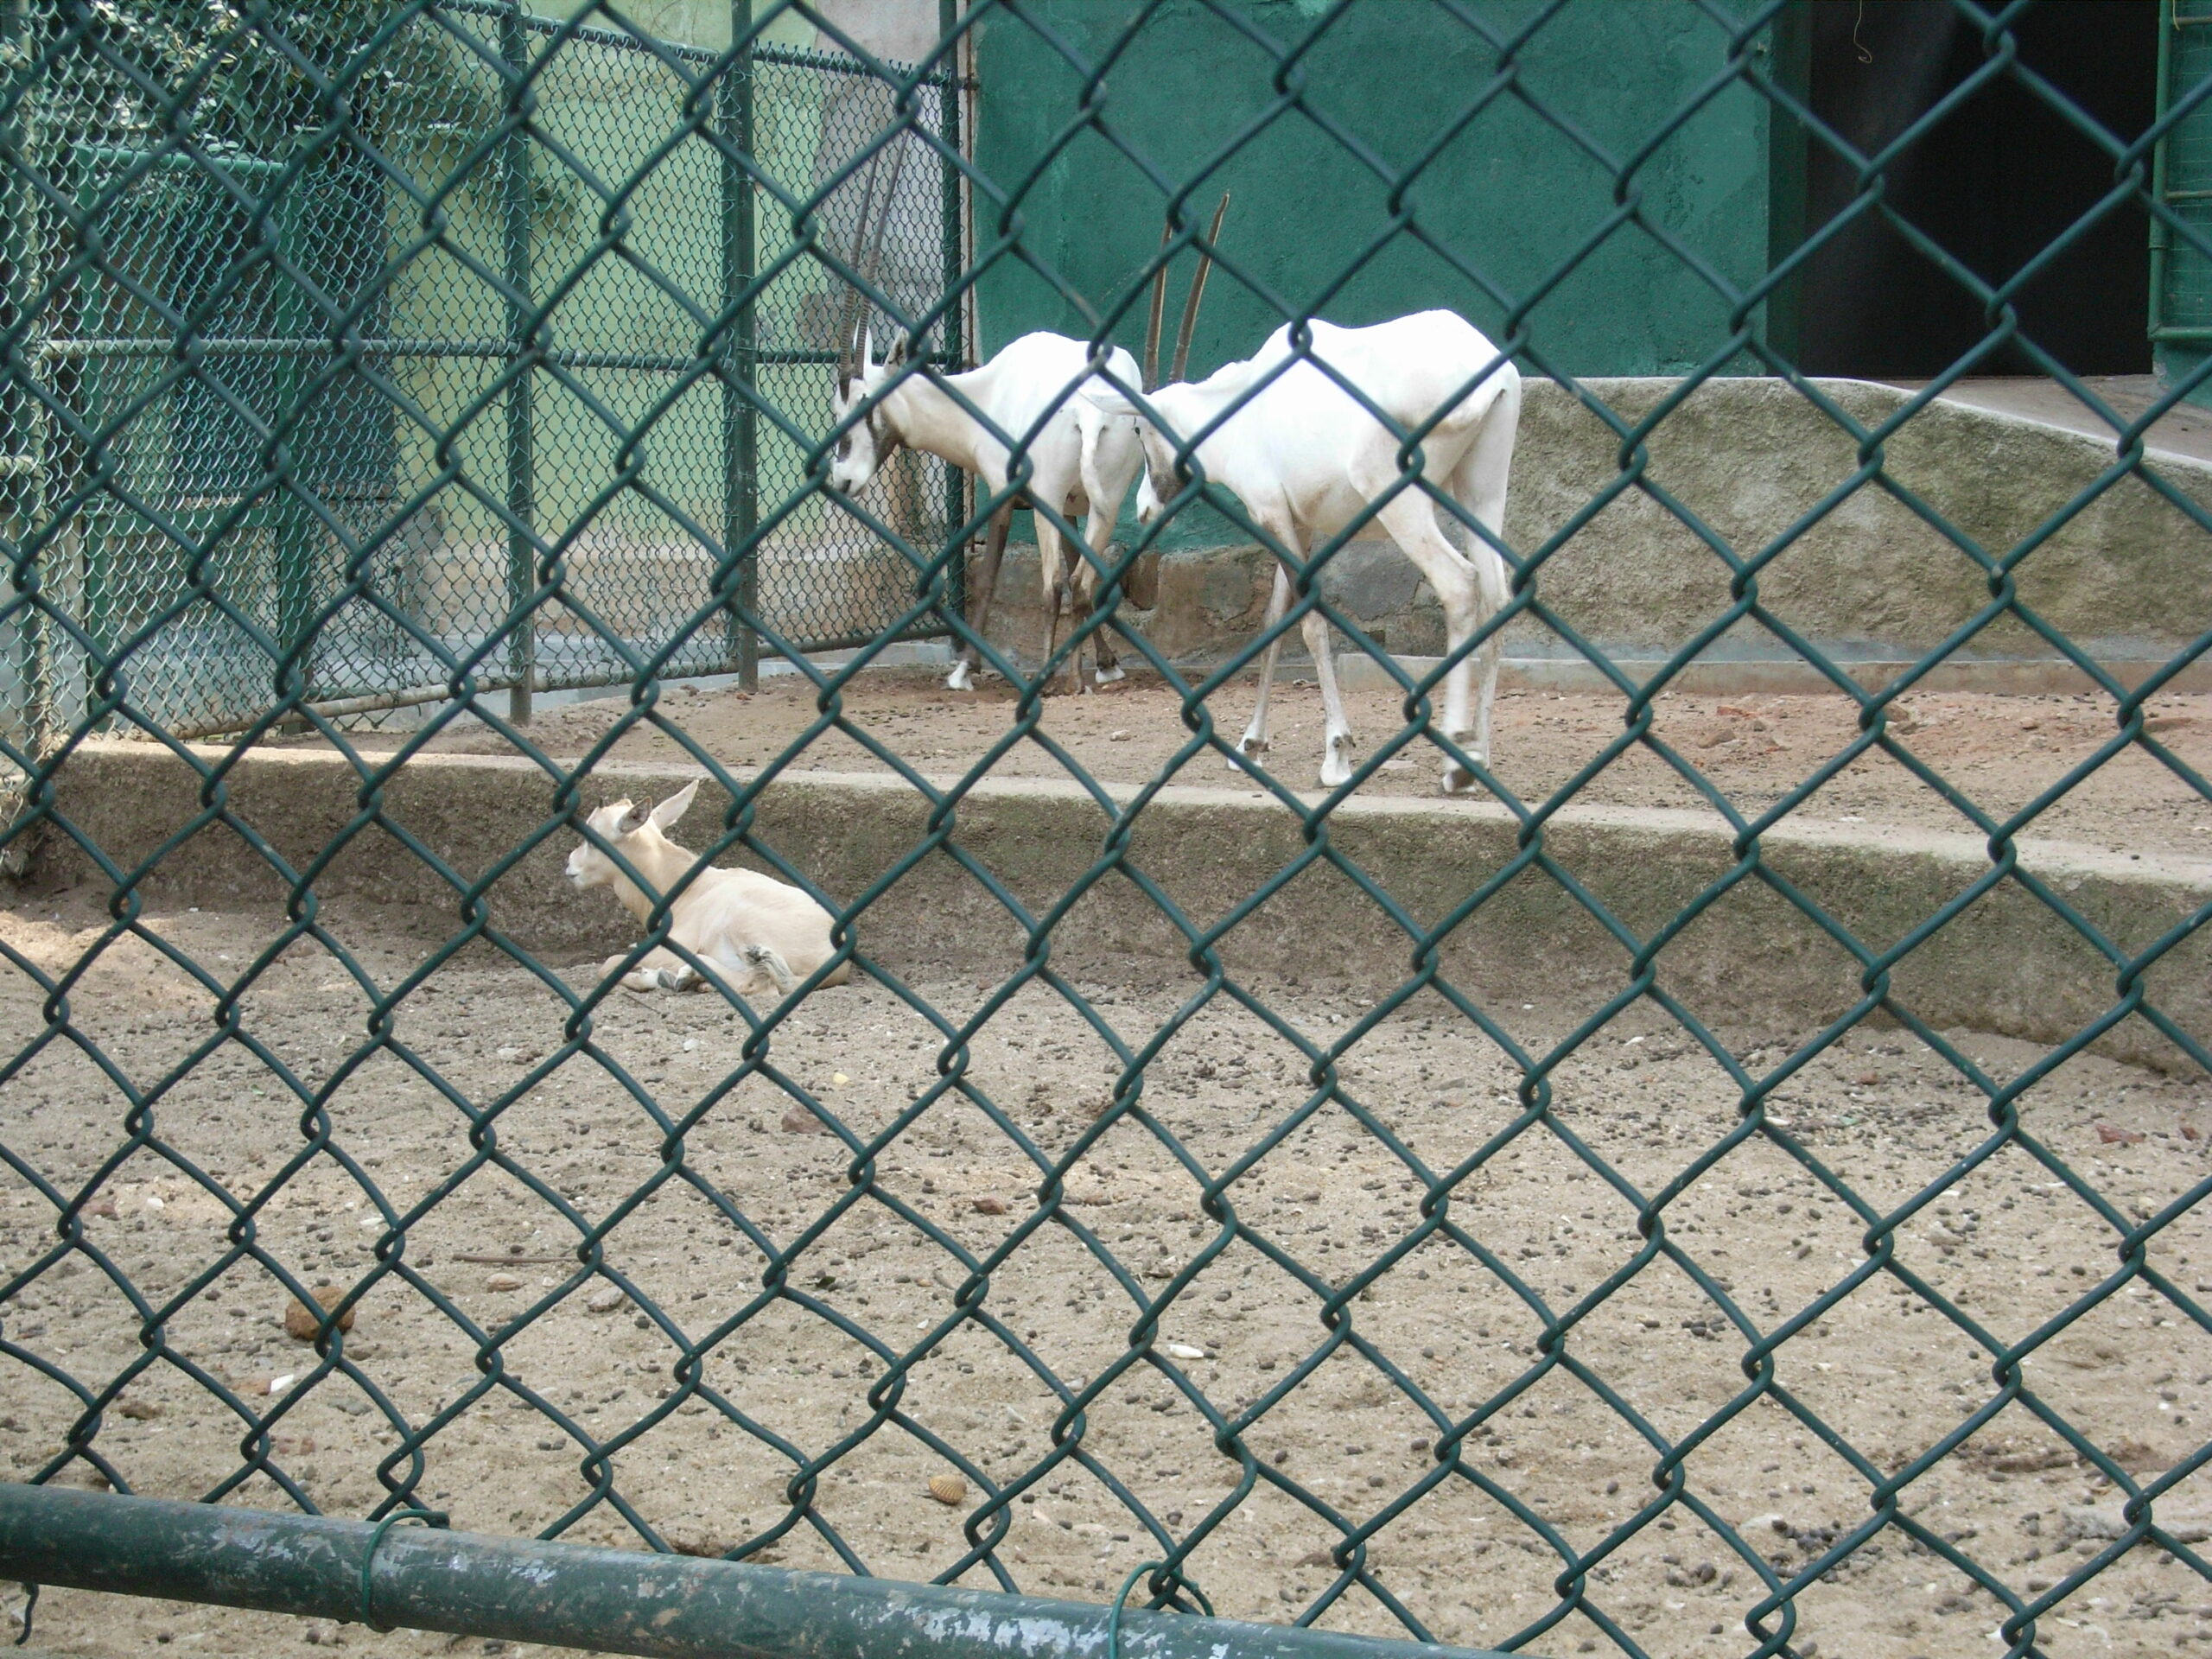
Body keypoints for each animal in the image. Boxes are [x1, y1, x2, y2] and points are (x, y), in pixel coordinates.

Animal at [565, 781, 849, 998]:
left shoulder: (672, 945)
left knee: (760, 983)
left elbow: (609, 964)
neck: (688, 890)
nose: (569, 865)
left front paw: (654, 977)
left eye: (592, 838)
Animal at [1085, 311, 1520, 793]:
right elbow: (1277, 616)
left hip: (1397, 494)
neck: (1237, 414)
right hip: (1482, 490)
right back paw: (1479, 752)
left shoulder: (1269, 511)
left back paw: (1456, 763)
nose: (1144, 508)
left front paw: (1337, 754)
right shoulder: (1297, 522)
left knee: (1459, 583)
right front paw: (1250, 745)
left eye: (1138, 429)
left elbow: (1310, 622)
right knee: (1498, 598)